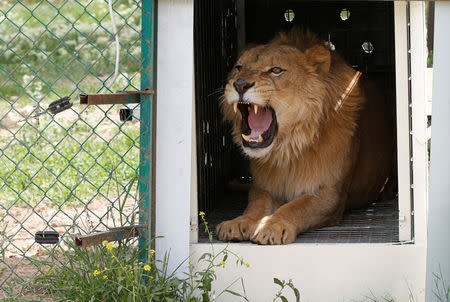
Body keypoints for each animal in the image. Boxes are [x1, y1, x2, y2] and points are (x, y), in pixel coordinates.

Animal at [216, 29, 396, 244]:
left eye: (276, 70)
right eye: (239, 68)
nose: (240, 84)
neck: (287, 149)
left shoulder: (329, 194)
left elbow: (296, 207)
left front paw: (273, 225)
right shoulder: (264, 187)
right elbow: (256, 205)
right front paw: (238, 222)